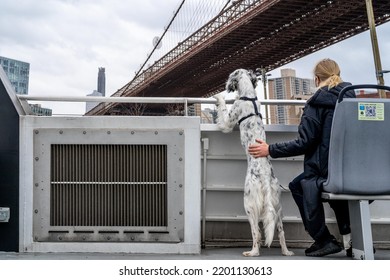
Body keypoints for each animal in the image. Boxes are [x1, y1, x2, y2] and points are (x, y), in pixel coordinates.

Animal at [213, 69, 292, 258]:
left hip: (249, 204)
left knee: (256, 232)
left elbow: (223, 112)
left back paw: (253, 251)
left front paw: (219, 97)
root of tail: (264, 179)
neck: (249, 95)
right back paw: (286, 251)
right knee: (280, 231)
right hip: (278, 208)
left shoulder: (229, 120)